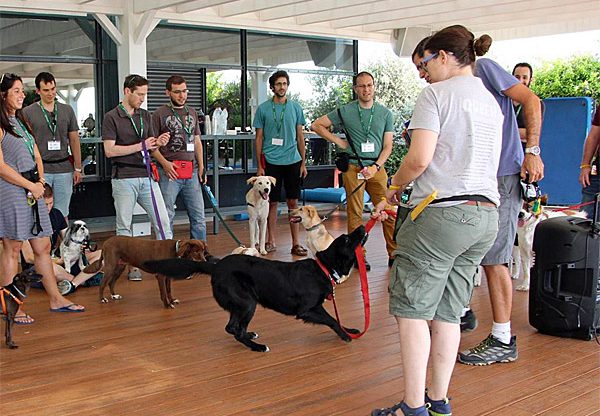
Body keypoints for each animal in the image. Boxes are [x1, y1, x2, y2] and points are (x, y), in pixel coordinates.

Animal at [145, 226, 366, 352]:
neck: (324, 267)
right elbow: (331, 319)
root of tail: (216, 266)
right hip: (248, 303)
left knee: (232, 327)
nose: (363, 226)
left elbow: (336, 318)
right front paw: (345, 335)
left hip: (240, 304)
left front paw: (349, 329)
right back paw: (257, 347)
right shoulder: (308, 310)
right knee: (236, 329)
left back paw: (250, 337)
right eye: (347, 239)